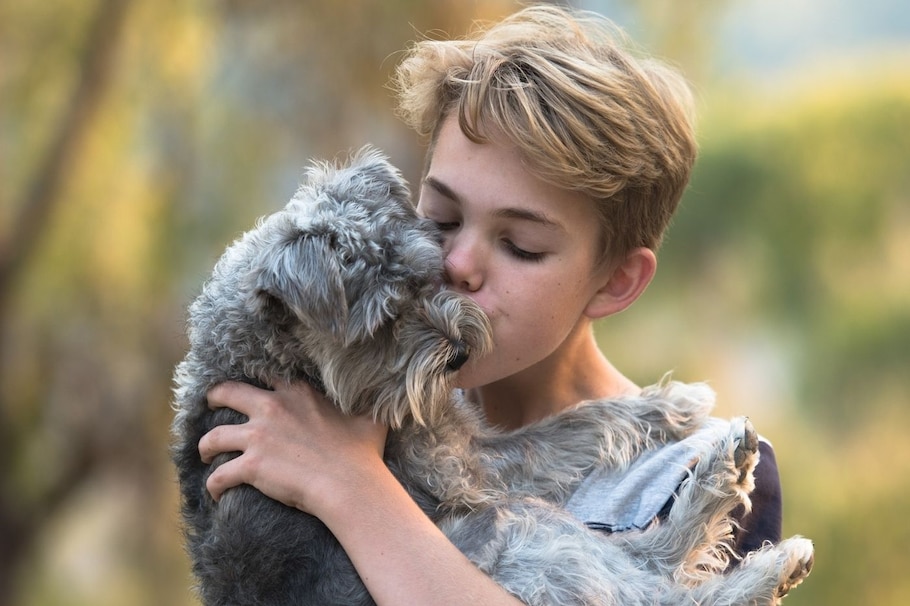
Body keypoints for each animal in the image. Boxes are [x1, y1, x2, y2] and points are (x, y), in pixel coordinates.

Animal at [169, 148, 812, 606]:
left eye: (429, 275)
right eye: (383, 323)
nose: (457, 354)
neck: (272, 359)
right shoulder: (465, 466)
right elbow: (570, 427)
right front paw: (667, 403)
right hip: (520, 529)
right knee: (657, 588)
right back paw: (750, 521)